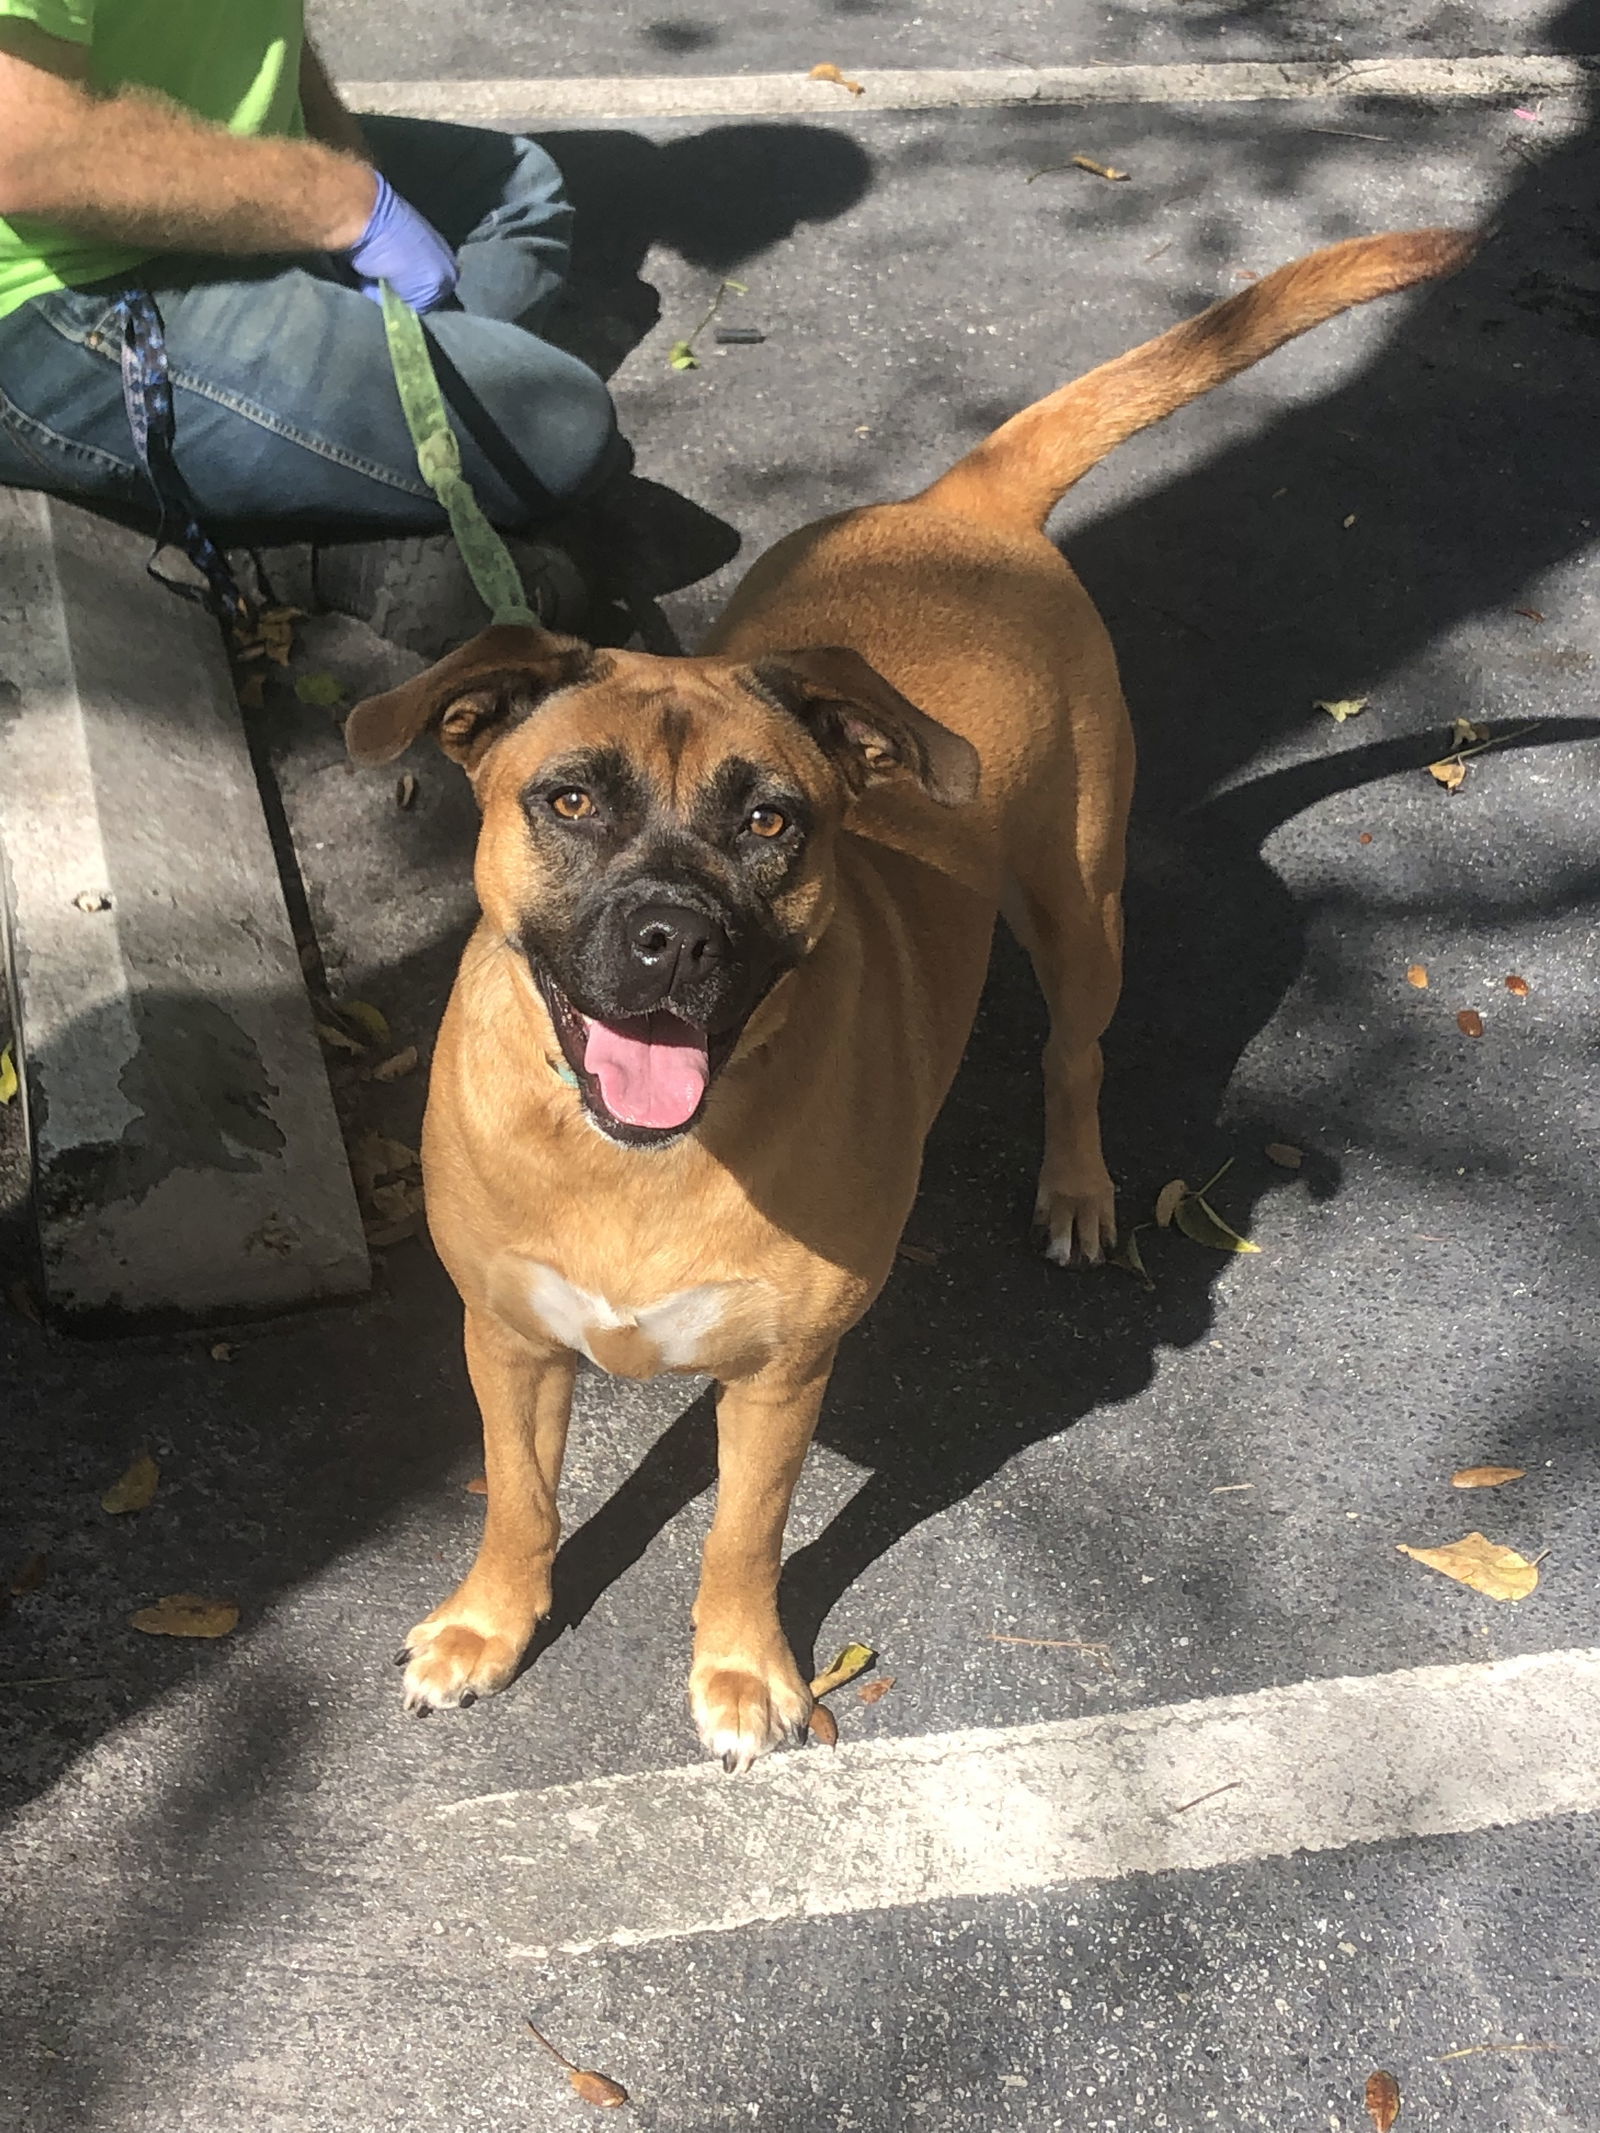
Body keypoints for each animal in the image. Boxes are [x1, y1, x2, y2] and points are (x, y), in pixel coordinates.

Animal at [347, 229, 1467, 1766]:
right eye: (569, 799)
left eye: (771, 822)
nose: (672, 938)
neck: (640, 1159)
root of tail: (957, 505)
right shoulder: (508, 1340)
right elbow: (520, 1495)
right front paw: (491, 1623)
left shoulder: (780, 1376)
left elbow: (742, 1536)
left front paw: (744, 1667)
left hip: (1078, 906)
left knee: (1074, 1055)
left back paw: (1075, 1187)